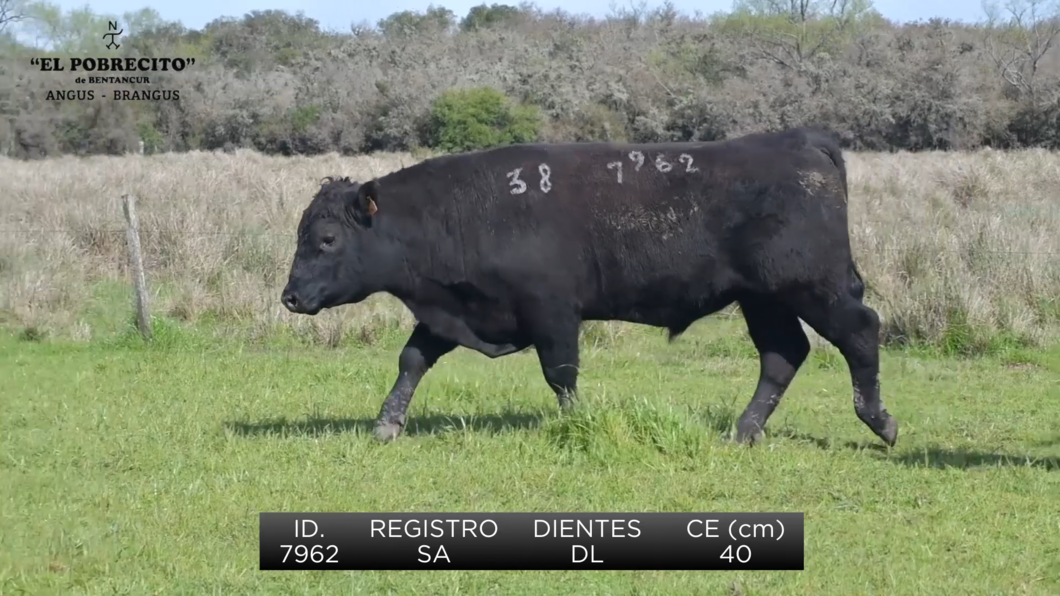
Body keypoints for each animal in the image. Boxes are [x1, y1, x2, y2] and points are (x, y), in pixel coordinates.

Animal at [279, 128, 894, 445]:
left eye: (327, 239)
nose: (290, 296)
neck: (467, 211)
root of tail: (799, 141)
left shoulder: (553, 314)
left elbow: (561, 375)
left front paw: (577, 424)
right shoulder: (452, 313)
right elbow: (411, 360)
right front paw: (386, 424)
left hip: (813, 287)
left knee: (861, 333)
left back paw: (881, 422)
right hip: (763, 300)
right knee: (783, 355)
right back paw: (742, 432)